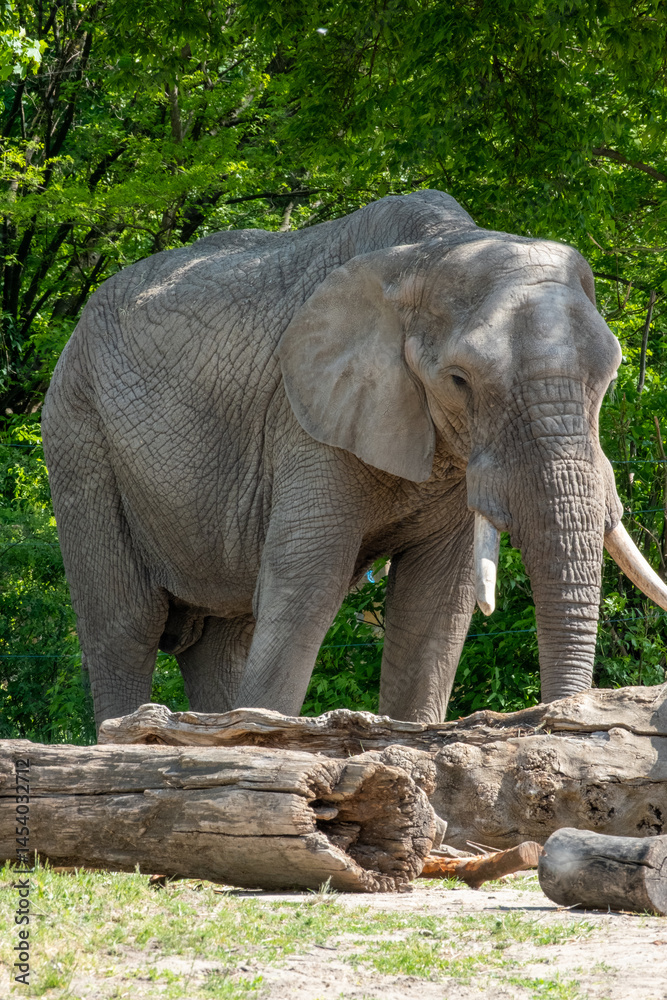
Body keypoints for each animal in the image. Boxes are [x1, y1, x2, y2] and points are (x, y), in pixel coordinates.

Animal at [41, 189, 667, 729]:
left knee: (222, 639)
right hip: (78, 434)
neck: (433, 252)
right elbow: (306, 589)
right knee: (126, 625)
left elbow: (435, 608)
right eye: (459, 381)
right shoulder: (304, 418)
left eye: (611, 375)